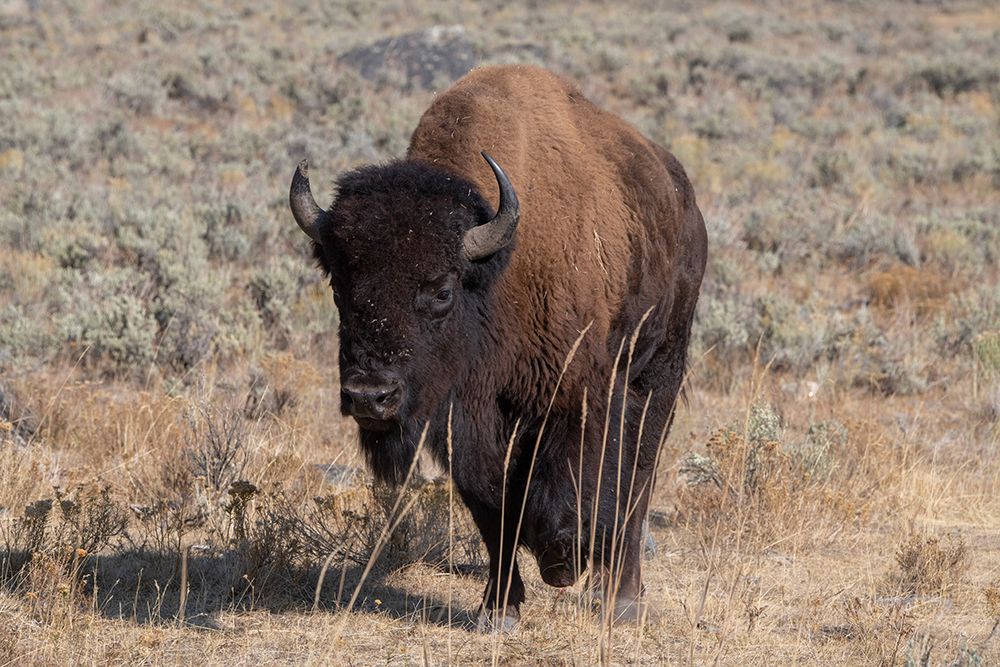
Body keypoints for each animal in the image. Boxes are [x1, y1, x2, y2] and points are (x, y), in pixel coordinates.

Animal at [289, 64, 707, 629]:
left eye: (441, 290)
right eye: (338, 286)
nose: (369, 396)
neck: (496, 269)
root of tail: (686, 203)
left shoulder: (580, 394)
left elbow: (576, 487)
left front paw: (562, 563)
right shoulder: (465, 420)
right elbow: (492, 508)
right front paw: (499, 608)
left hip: (660, 368)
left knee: (639, 479)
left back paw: (620, 599)